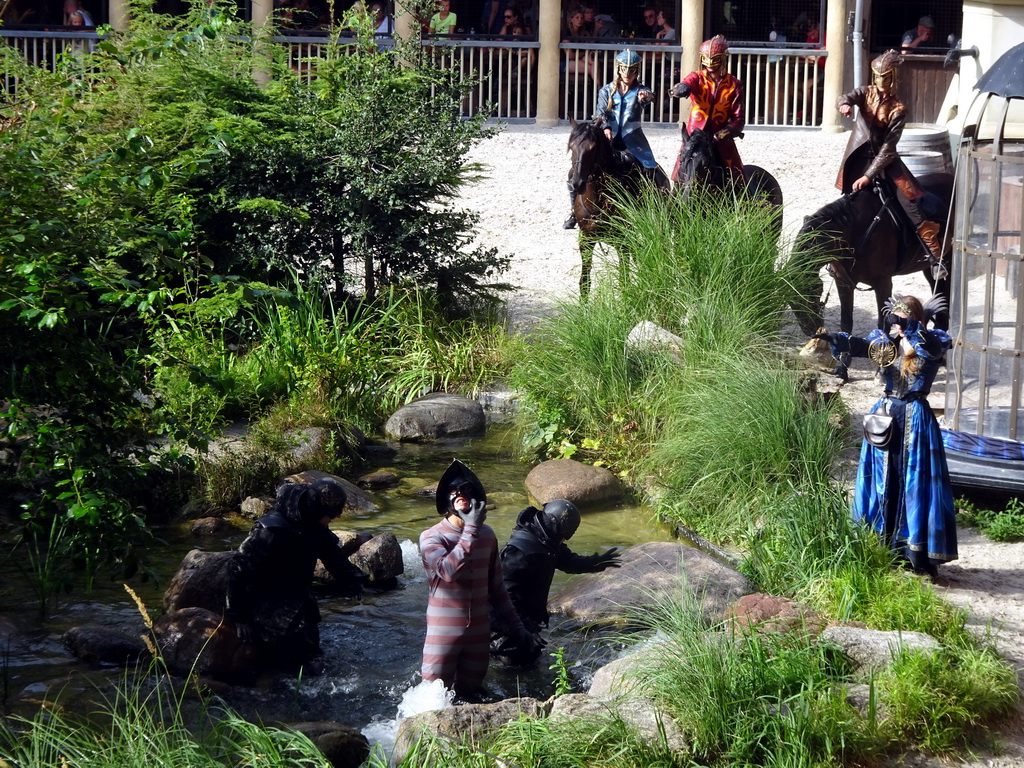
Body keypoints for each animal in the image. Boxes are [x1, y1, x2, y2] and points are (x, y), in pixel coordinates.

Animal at [565, 119, 667, 296]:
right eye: (571, 146)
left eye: (592, 148)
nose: (576, 183)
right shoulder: (586, 239)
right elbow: (585, 283)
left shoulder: (623, 240)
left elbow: (624, 278)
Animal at [790, 173, 950, 380]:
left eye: (809, 293)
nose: (811, 330)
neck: (854, 232)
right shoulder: (844, 283)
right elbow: (846, 323)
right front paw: (843, 368)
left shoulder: (883, 283)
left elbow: (884, 323)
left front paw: (883, 368)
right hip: (927, 269)